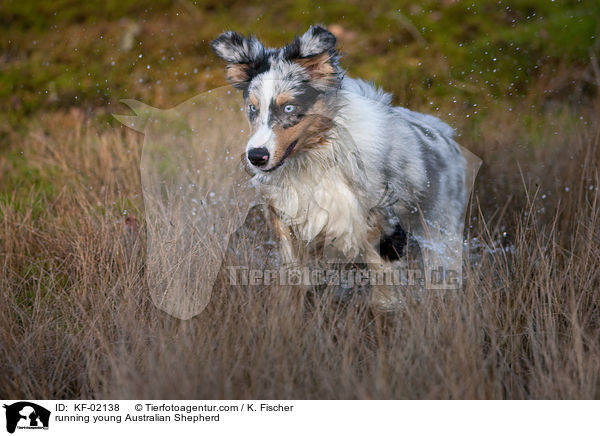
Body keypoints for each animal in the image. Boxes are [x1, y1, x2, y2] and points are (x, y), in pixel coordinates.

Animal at [211, 25, 468, 310]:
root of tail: (444, 132)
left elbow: (385, 289)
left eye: (289, 107)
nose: (256, 156)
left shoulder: (384, 227)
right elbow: (295, 278)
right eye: (252, 108)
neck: (316, 158)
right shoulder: (289, 222)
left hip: (441, 231)